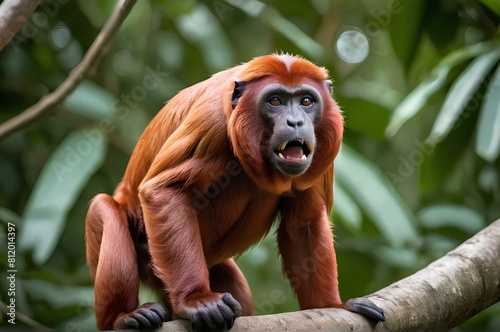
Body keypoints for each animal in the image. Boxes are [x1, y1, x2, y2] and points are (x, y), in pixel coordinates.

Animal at [86, 53, 384, 330]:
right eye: (275, 101)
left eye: (306, 101)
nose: (296, 122)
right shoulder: (212, 123)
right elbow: (164, 190)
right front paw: (196, 300)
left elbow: (302, 224)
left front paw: (331, 306)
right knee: (105, 209)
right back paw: (121, 317)